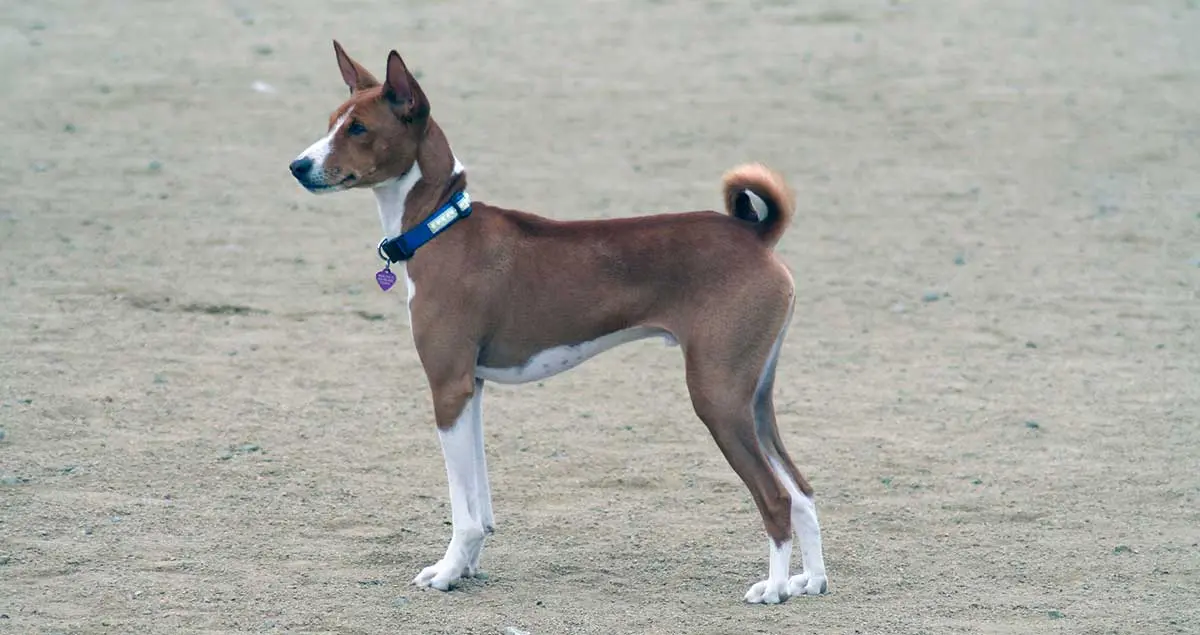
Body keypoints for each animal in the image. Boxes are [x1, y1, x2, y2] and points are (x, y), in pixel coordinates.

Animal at [289, 42, 830, 602]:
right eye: (332, 122)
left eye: (358, 128)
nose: (298, 166)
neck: (441, 228)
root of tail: (756, 237)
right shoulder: (471, 388)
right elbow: (480, 503)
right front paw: (467, 567)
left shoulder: (447, 386)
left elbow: (463, 511)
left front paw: (446, 572)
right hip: (753, 397)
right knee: (802, 491)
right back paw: (809, 580)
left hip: (718, 396)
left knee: (775, 497)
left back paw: (774, 588)